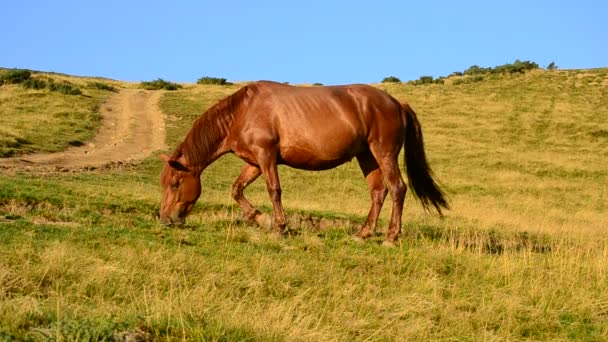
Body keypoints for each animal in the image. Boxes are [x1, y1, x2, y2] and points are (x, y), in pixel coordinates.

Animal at [159, 81, 448, 244]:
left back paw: (390, 236)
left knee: (397, 189)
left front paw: (279, 227)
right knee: (378, 192)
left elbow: (274, 191)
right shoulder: (254, 162)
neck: (242, 112)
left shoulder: (266, 157)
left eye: (175, 183)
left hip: (384, 153)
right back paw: (363, 234)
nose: (165, 219)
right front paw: (260, 219)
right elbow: (236, 189)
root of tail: (397, 103)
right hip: (367, 156)